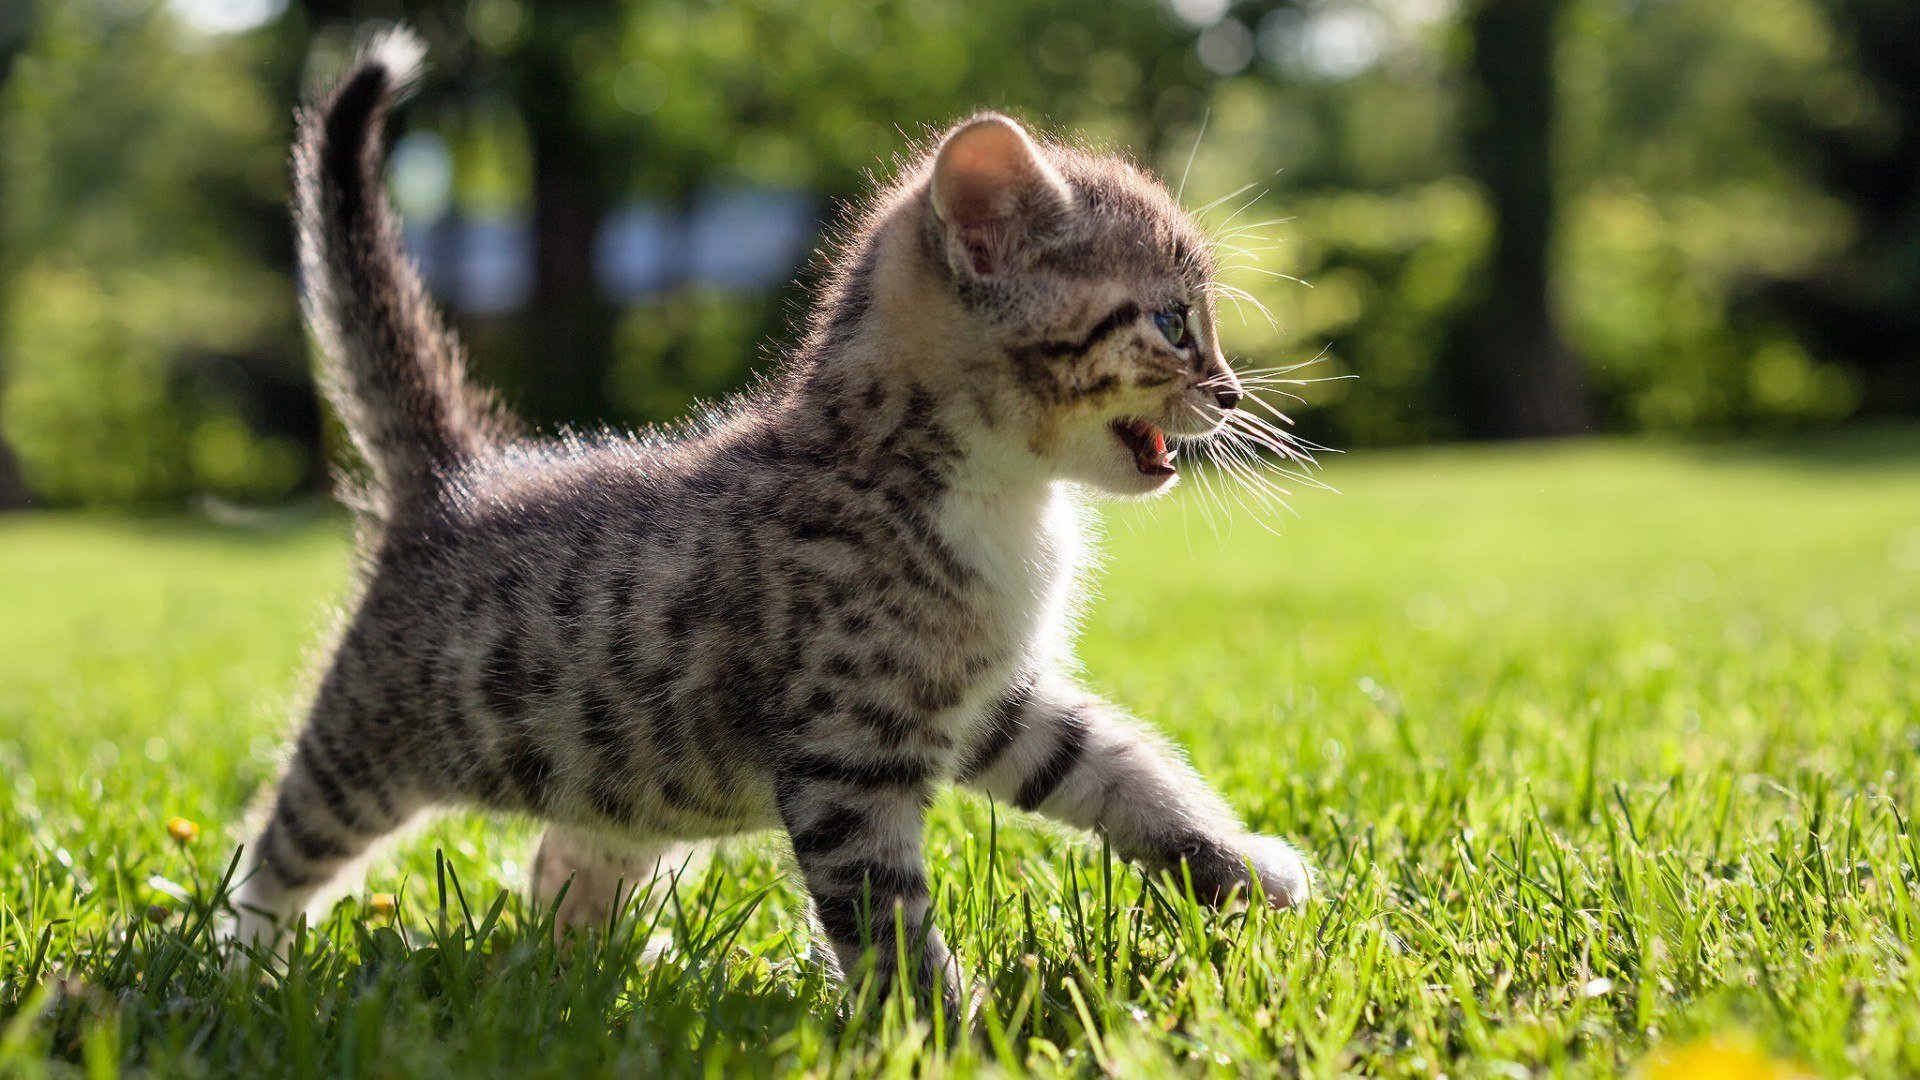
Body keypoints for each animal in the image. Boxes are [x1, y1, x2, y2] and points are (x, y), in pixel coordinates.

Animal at [224, 33, 1313, 1006]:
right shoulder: (846, 758)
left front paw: (1241, 867)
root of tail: (456, 479)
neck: (983, 491)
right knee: (280, 842)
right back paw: (246, 967)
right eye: (1172, 323)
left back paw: (592, 969)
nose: (1229, 393)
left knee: (565, 857)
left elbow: (1124, 768)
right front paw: (942, 1031)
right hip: (368, 743)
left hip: (622, 772)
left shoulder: (992, 702)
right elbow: (884, 916)